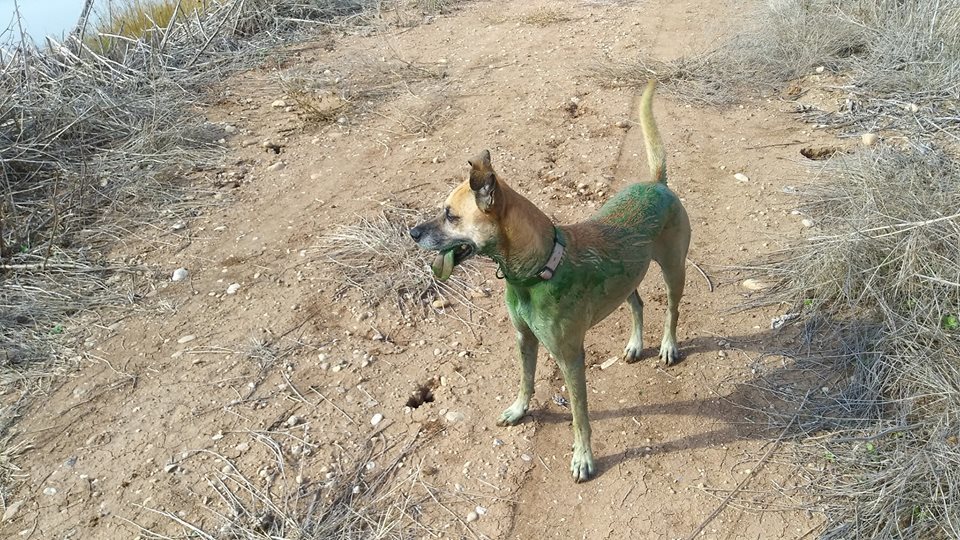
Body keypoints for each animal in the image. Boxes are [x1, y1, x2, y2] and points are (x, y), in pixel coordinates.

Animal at [406, 81, 688, 480]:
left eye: (450, 215)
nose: (412, 232)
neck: (536, 272)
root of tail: (656, 183)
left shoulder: (570, 357)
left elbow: (580, 416)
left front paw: (583, 457)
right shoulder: (524, 338)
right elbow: (525, 381)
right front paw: (519, 409)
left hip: (673, 269)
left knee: (672, 310)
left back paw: (667, 346)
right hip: (628, 275)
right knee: (637, 302)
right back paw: (635, 344)